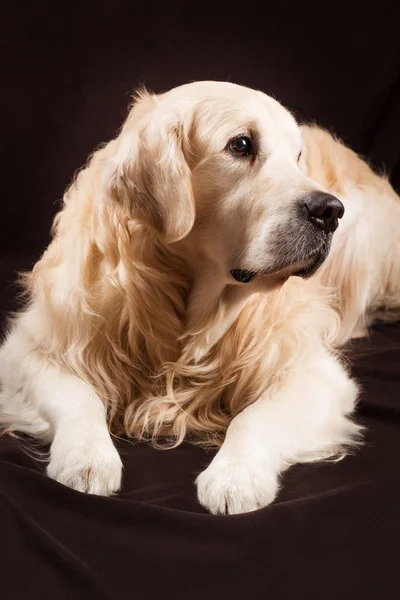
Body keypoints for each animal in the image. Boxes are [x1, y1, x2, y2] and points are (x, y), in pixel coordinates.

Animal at [0, 79, 400, 512]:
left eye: (298, 158)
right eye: (241, 145)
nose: (329, 211)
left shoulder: (314, 372)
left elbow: (253, 417)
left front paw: (235, 477)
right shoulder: (28, 348)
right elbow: (79, 395)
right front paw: (85, 459)